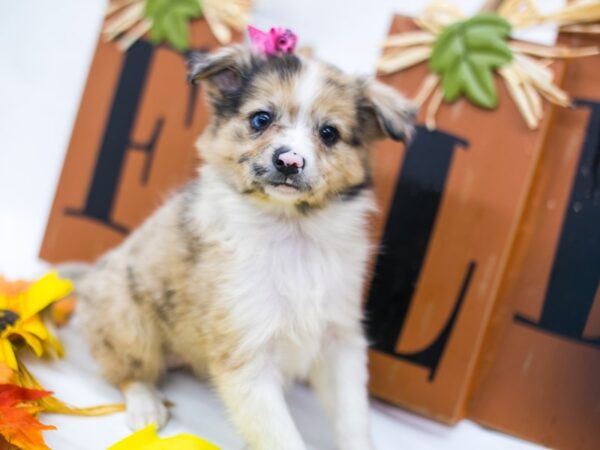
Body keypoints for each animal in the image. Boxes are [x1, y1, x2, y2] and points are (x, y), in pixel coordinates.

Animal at [74, 44, 412, 450]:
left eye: (329, 133)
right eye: (260, 119)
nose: (289, 161)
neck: (292, 230)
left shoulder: (339, 338)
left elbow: (353, 420)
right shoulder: (246, 353)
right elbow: (282, 437)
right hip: (127, 320)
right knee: (127, 371)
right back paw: (146, 407)